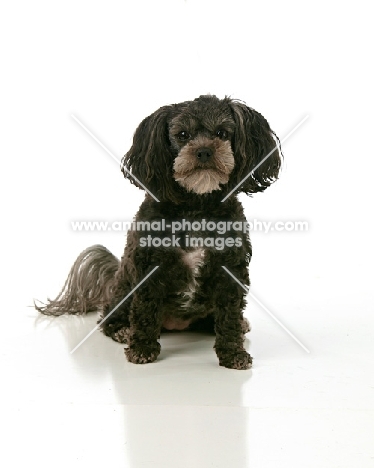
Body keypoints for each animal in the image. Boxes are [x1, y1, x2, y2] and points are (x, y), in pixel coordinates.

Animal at [36, 95, 282, 370]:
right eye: (182, 135)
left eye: (222, 133)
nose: (204, 151)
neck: (196, 205)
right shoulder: (149, 268)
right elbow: (145, 311)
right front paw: (142, 347)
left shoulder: (230, 270)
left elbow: (229, 314)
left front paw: (233, 353)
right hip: (123, 289)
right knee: (107, 319)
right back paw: (122, 329)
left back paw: (239, 323)